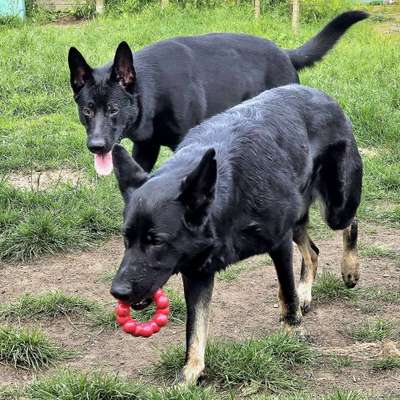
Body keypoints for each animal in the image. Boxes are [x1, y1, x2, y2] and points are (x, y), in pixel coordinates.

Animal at [67, 10, 368, 173]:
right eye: (87, 111)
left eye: (113, 110)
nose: (96, 146)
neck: (152, 91)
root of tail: (284, 54)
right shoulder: (145, 148)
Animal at [109, 84, 362, 384]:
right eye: (126, 239)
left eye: (156, 241)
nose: (117, 292)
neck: (228, 196)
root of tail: (321, 94)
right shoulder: (197, 273)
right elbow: (195, 329)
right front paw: (190, 373)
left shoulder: (279, 243)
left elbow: (286, 291)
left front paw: (293, 330)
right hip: (298, 217)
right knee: (312, 251)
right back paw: (306, 292)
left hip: (335, 208)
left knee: (350, 224)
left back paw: (349, 269)